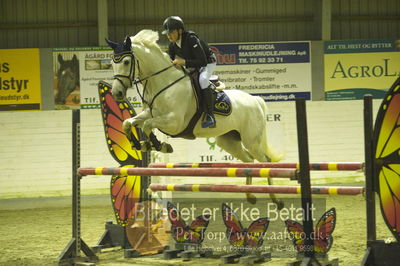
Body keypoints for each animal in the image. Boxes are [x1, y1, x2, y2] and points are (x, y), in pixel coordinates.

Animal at [104, 30, 282, 207]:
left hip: (251, 140)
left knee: (265, 161)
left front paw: (160, 145)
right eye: (112, 62)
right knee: (249, 161)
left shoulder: (174, 122)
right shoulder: (151, 114)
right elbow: (128, 123)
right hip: (229, 141)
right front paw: (139, 144)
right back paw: (250, 195)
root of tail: (255, 100)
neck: (163, 83)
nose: (117, 93)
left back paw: (276, 199)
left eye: (126, 61)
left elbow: (147, 125)